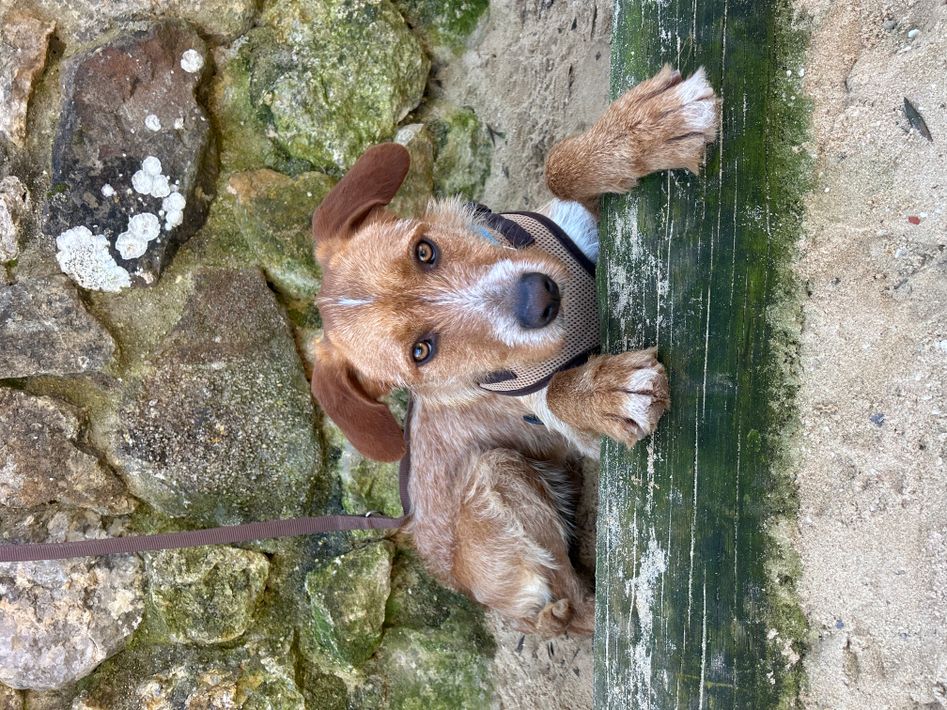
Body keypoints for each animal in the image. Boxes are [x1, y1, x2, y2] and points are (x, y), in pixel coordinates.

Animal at [309, 66, 719, 636]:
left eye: (424, 250)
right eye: (422, 351)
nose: (539, 296)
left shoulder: (574, 222)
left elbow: (558, 169)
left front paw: (643, 128)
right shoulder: (553, 418)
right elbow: (563, 395)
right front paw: (607, 392)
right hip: (499, 473)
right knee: (575, 606)